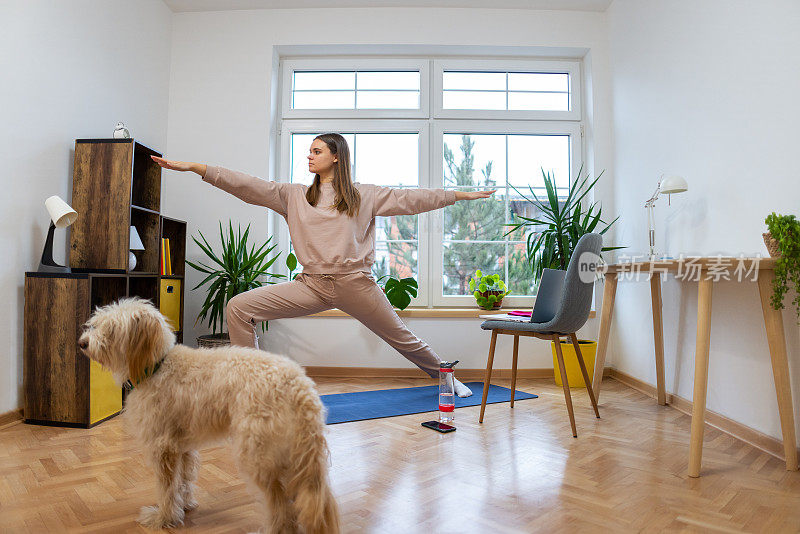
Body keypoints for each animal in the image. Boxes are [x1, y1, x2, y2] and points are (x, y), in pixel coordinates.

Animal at [79, 300, 342, 532]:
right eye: (95, 323)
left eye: (111, 329)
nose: (82, 343)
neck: (158, 365)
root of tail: (300, 385)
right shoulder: (183, 447)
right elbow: (183, 481)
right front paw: (184, 507)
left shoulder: (163, 448)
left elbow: (166, 488)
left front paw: (163, 518)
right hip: (295, 458)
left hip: (260, 458)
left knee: (281, 507)